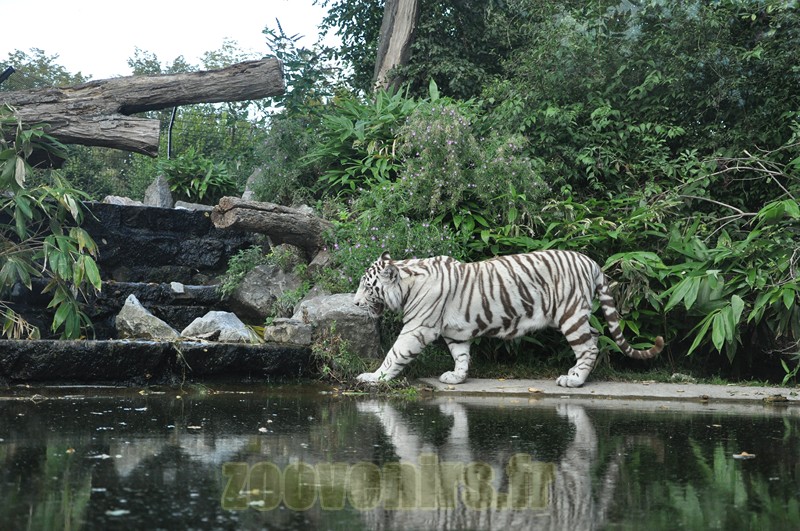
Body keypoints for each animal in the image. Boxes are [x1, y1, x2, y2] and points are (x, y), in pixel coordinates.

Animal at [353, 250, 663, 387]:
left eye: (367, 287)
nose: (355, 302)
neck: (407, 282)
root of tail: (591, 261)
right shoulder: (455, 332)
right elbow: (461, 354)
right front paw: (457, 377)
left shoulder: (418, 328)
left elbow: (395, 353)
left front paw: (373, 377)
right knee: (595, 339)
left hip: (570, 314)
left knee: (589, 346)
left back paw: (574, 379)